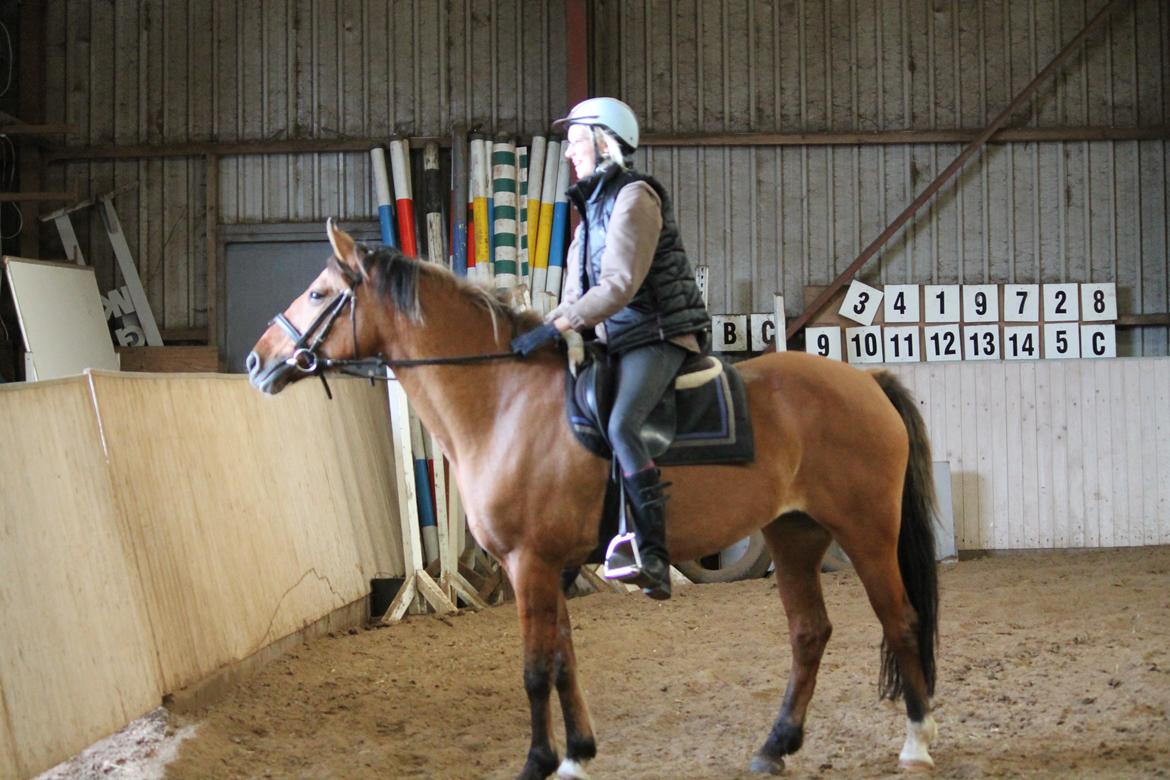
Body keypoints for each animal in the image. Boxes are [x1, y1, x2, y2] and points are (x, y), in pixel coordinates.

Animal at [246, 221, 940, 780]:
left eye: (317, 294)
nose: (257, 362)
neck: (504, 400)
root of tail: (868, 384)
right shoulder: (550, 565)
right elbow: (563, 663)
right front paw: (576, 757)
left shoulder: (528, 563)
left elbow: (534, 669)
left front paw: (536, 762)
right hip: (795, 535)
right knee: (809, 633)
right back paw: (776, 746)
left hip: (867, 533)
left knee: (901, 622)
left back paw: (917, 743)